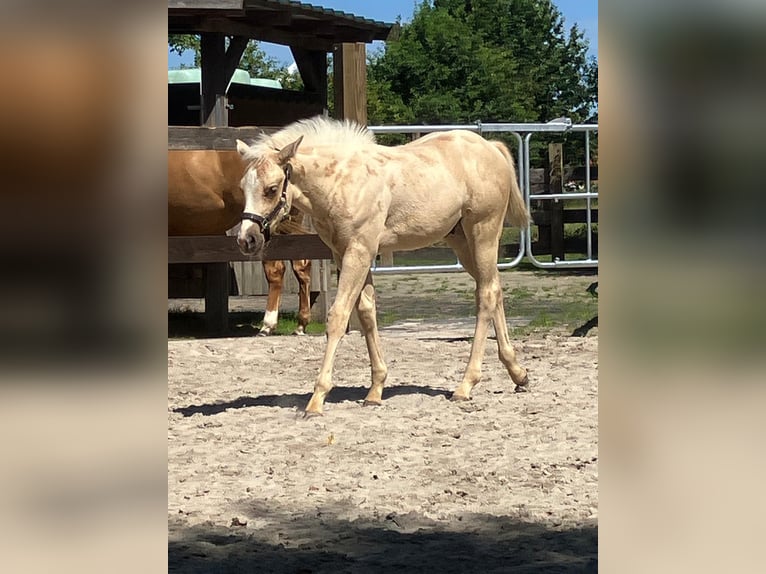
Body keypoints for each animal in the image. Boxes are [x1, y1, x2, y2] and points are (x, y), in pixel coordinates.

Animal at [235, 116, 530, 415]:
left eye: (272, 189)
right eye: (243, 187)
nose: (247, 239)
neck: (342, 180)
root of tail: (490, 147)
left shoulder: (359, 252)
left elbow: (339, 316)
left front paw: (317, 399)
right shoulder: (346, 254)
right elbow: (367, 312)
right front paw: (375, 390)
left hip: (483, 232)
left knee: (487, 295)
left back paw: (466, 385)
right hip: (461, 241)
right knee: (493, 288)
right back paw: (518, 373)